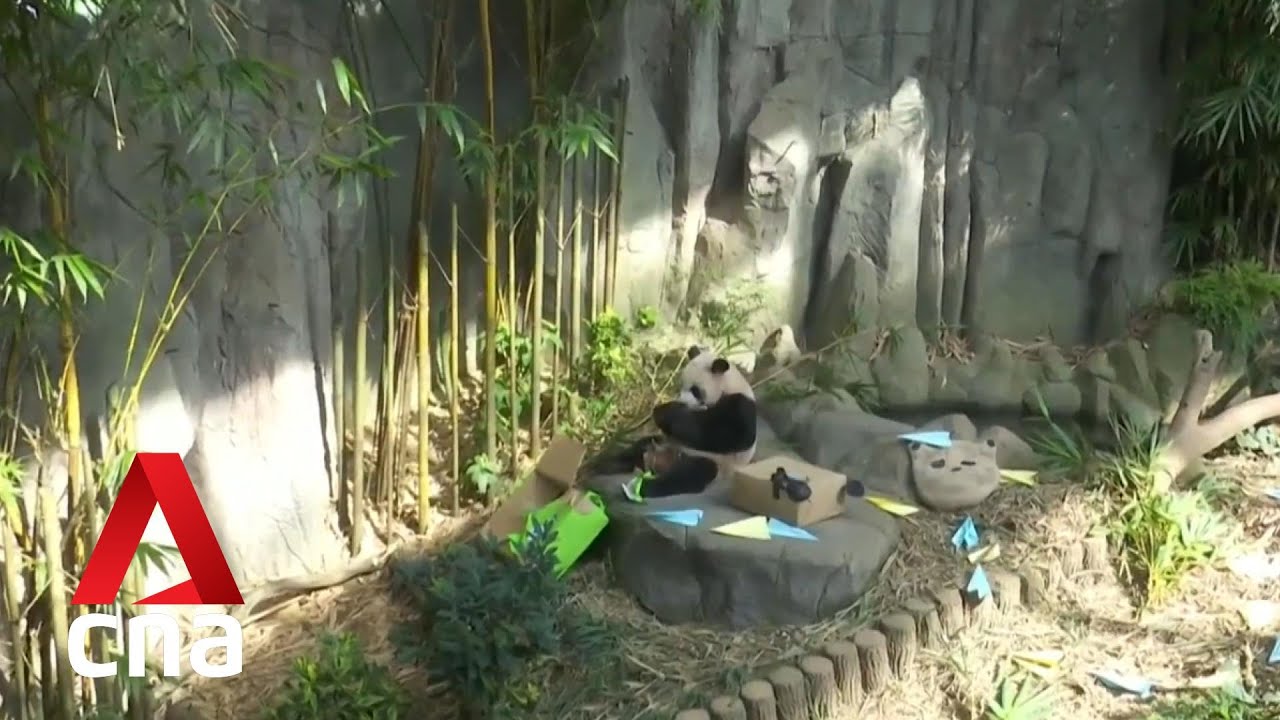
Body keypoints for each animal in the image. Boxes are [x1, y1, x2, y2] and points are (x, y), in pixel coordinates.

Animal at [612, 345, 758, 498]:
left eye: (695, 390)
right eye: (680, 386)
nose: (682, 401)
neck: (728, 385)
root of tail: (661, 463)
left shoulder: (740, 405)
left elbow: (728, 435)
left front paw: (666, 412)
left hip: (714, 462)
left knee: (690, 474)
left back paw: (644, 487)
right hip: (661, 442)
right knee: (635, 450)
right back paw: (609, 464)